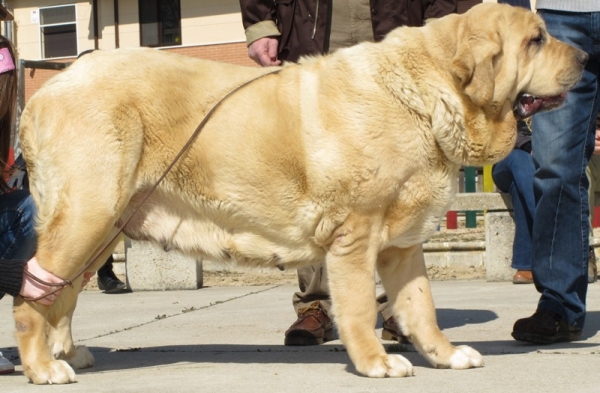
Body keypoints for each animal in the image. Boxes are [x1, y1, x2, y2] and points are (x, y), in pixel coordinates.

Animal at [12, 3, 584, 382]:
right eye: (536, 39)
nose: (583, 56)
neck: (427, 90)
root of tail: (50, 89)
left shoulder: (402, 246)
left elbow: (420, 306)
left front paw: (444, 355)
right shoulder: (355, 238)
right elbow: (358, 306)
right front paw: (376, 361)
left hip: (102, 228)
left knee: (61, 293)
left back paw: (66, 354)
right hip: (87, 214)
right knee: (30, 296)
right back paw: (43, 367)